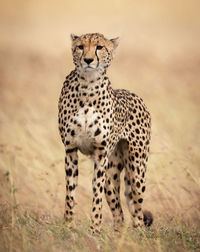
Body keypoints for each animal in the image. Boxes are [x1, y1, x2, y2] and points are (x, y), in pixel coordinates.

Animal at [58, 33, 152, 232]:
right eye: (80, 46)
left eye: (99, 47)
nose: (88, 60)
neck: (88, 86)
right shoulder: (70, 150)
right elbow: (70, 193)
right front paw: (68, 225)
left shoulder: (100, 154)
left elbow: (96, 194)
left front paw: (95, 228)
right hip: (113, 170)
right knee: (119, 213)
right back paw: (117, 233)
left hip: (136, 168)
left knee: (137, 211)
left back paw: (139, 232)